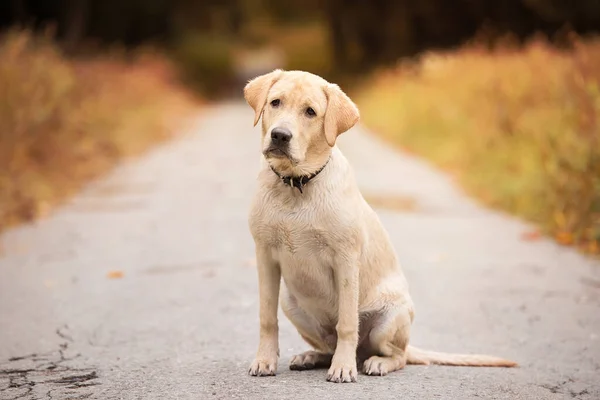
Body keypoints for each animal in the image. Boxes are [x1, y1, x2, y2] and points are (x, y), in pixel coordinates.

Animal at [243, 69, 516, 384]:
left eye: (310, 112)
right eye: (275, 102)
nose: (280, 135)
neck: (296, 184)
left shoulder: (346, 260)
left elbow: (347, 323)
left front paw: (343, 368)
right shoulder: (264, 256)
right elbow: (266, 318)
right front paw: (265, 360)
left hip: (390, 319)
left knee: (396, 356)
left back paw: (374, 363)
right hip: (292, 303)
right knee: (329, 345)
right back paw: (311, 357)